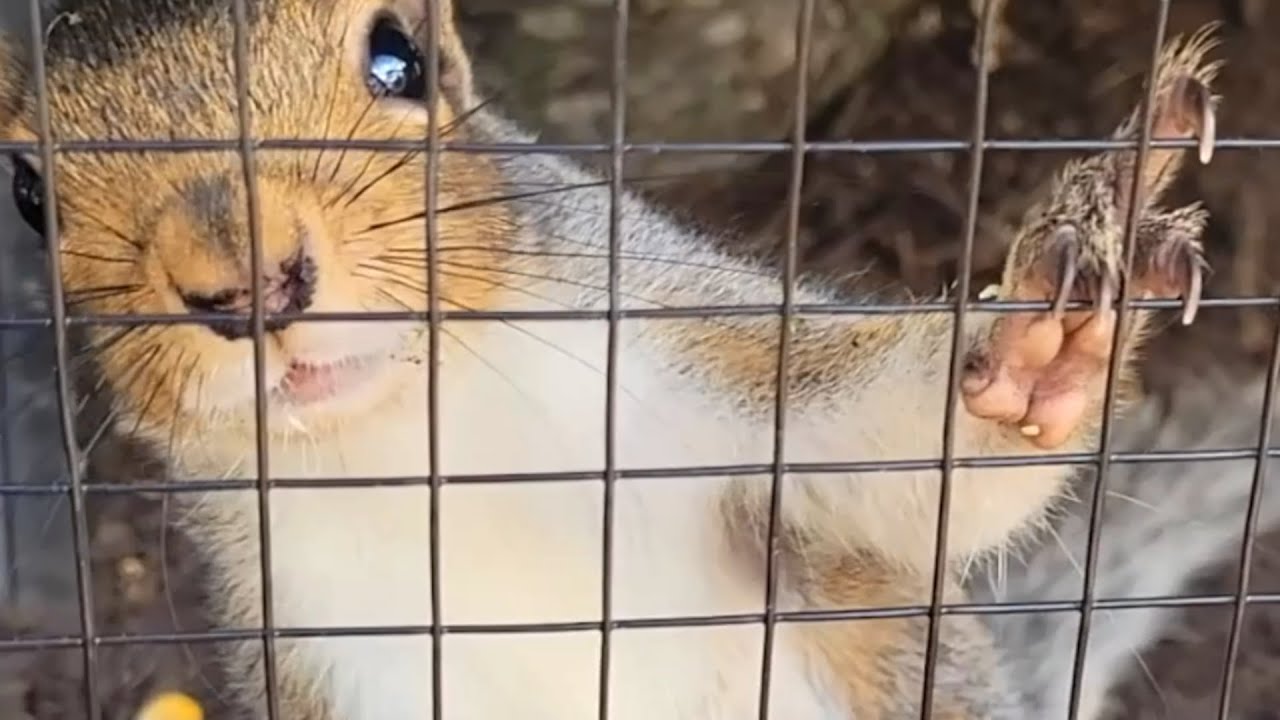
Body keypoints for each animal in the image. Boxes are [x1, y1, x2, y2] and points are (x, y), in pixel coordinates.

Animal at [0, 0, 1224, 718]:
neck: (423, 444)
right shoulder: (319, 648)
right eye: (25, 193)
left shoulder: (702, 366)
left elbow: (902, 474)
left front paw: (1043, 326)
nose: (244, 281)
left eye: (398, 54)